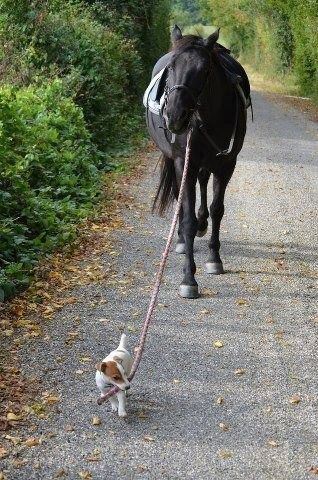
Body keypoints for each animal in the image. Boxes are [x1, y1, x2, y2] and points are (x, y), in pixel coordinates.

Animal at [144, 26, 251, 298]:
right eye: (171, 67)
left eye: (205, 70)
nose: (175, 116)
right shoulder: (185, 162)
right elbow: (187, 217)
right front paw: (188, 278)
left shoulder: (227, 163)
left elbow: (217, 209)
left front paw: (214, 259)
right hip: (176, 161)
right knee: (181, 198)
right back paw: (182, 240)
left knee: (203, 182)